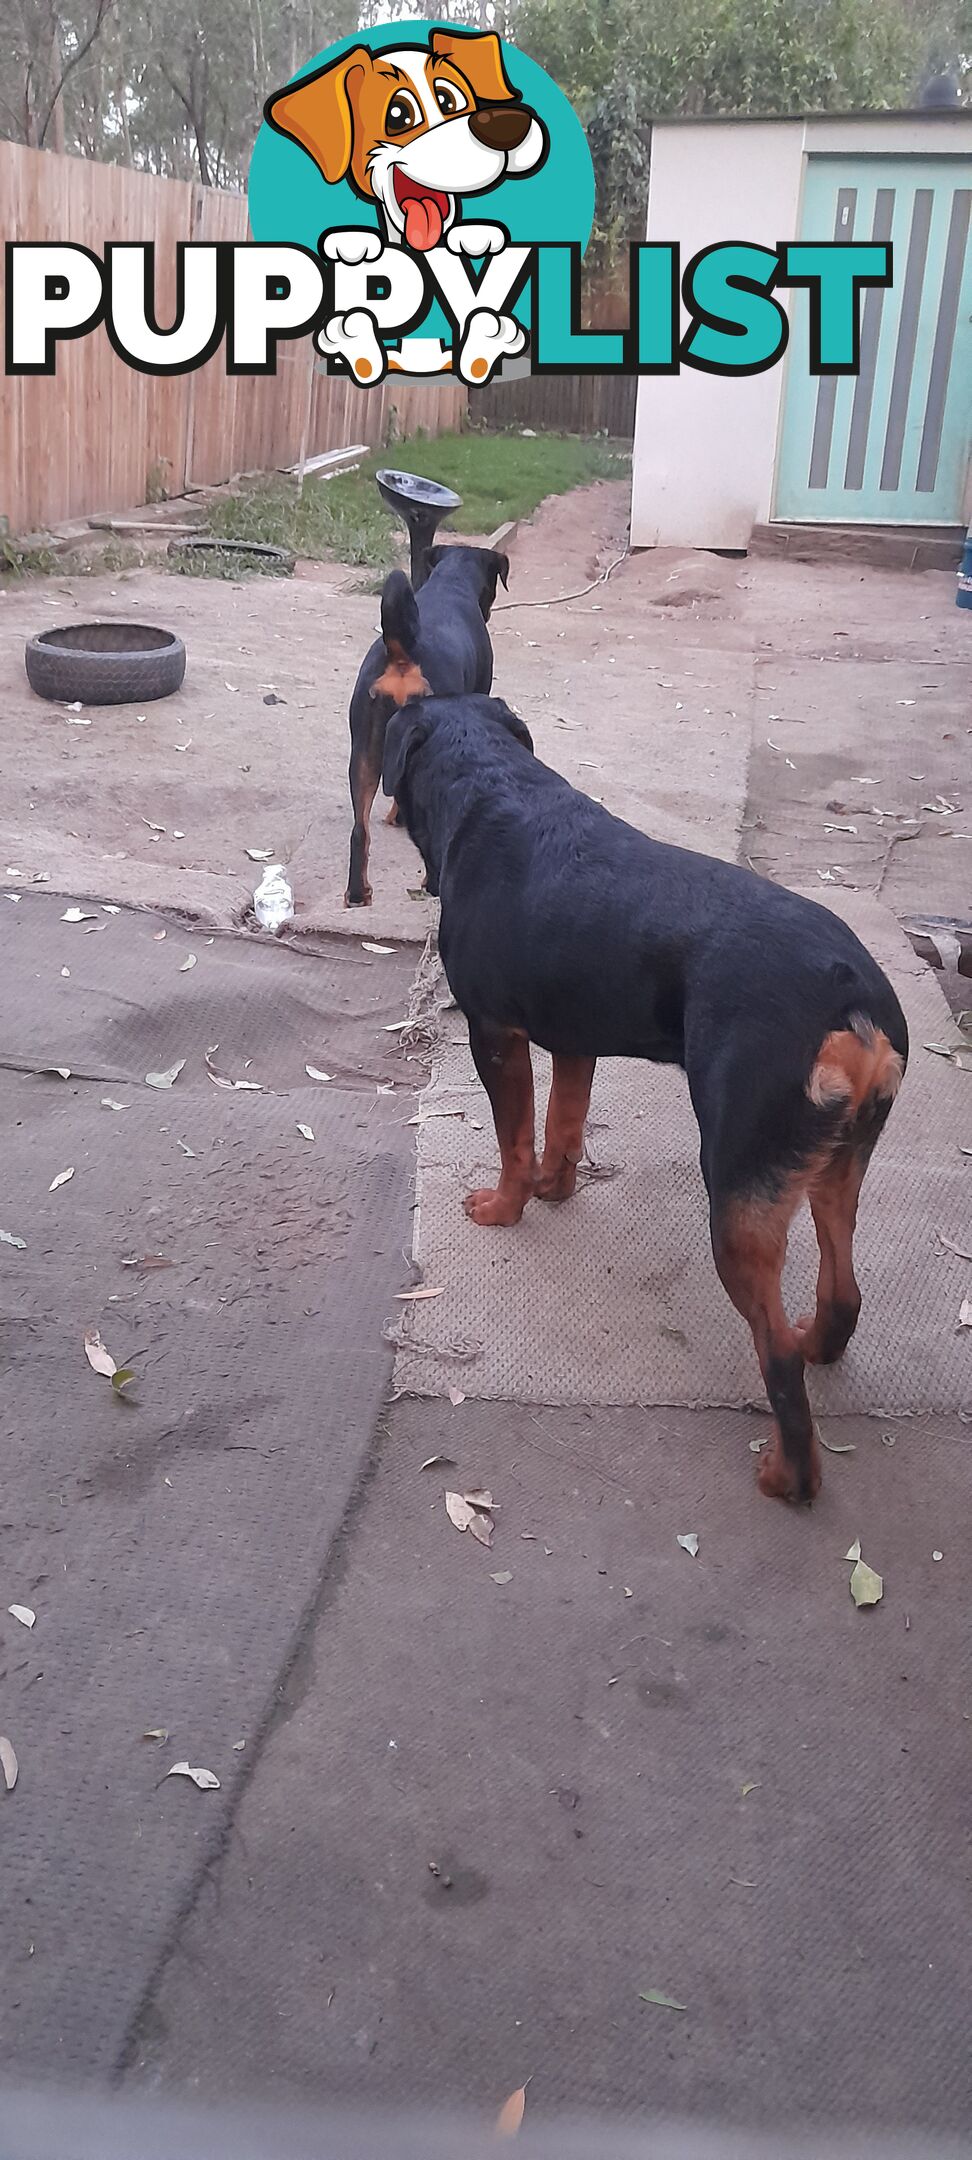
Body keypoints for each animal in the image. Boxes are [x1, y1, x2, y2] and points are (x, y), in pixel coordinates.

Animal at [384, 691, 907, 1503]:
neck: (492, 787)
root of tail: (850, 1004)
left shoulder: (495, 1033)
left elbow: (514, 1138)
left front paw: (505, 1207)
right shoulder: (576, 1038)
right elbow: (563, 1126)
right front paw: (556, 1189)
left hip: (737, 1193)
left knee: (777, 1357)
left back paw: (787, 1475)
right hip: (834, 1170)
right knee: (840, 1292)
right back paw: (819, 1343)